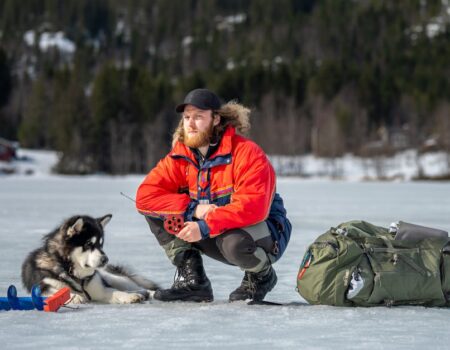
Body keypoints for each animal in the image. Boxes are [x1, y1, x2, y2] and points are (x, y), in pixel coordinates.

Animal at [21, 213, 159, 304]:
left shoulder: (99, 288)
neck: (72, 271)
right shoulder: (43, 286)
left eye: (100, 244)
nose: (105, 260)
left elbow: (116, 292)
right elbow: (54, 292)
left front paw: (130, 297)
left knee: (136, 286)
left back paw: (149, 293)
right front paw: (73, 297)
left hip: (115, 279)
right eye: (88, 244)